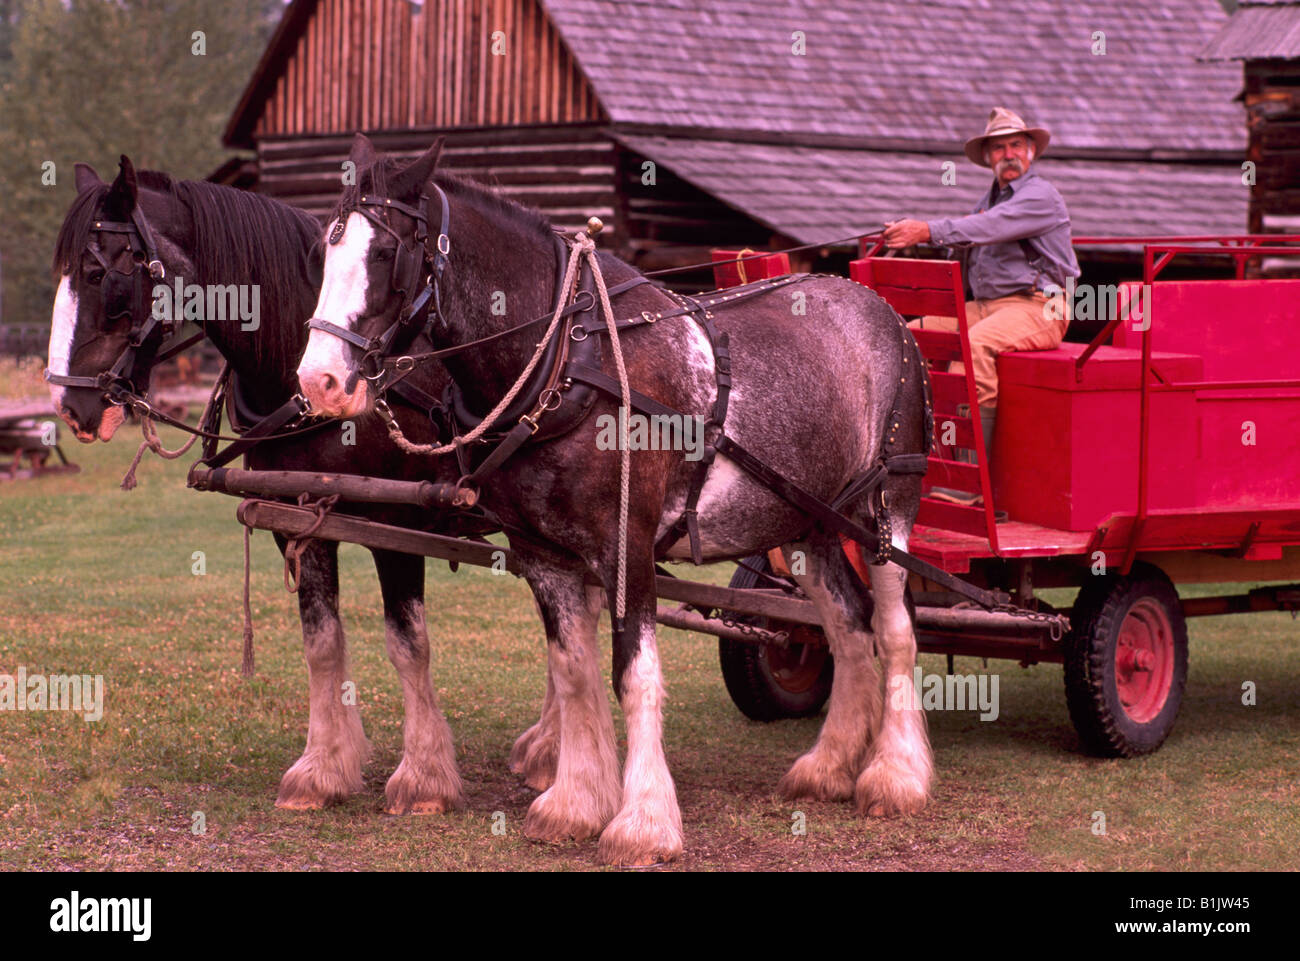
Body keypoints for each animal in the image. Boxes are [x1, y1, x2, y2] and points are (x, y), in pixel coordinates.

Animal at [295, 133, 935, 863]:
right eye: (322, 254)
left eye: (383, 254)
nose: (318, 382)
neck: (568, 360)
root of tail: (875, 306)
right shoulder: (542, 553)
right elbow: (573, 672)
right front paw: (573, 802)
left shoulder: (627, 546)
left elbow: (635, 675)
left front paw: (643, 822)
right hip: (806, 521)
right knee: (850, 627)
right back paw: (828, 766)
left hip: (887, 510)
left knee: (895, 628)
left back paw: (895, 775)